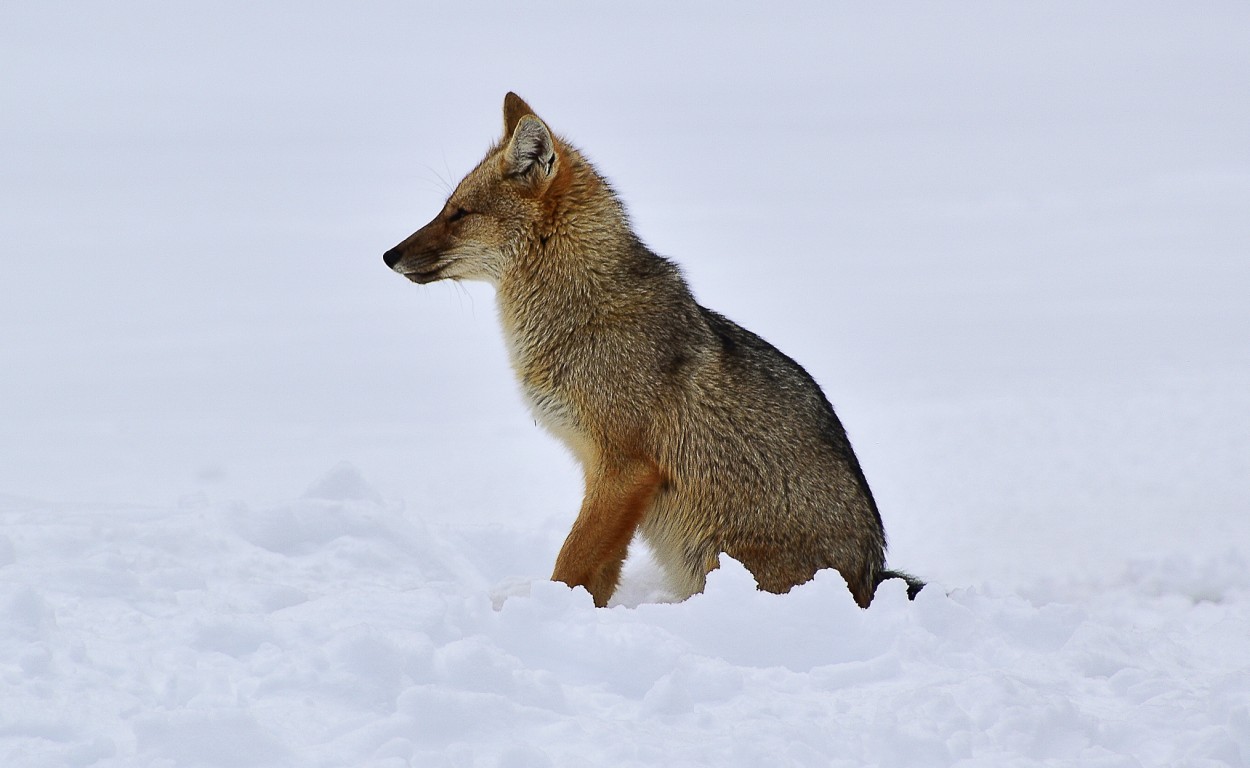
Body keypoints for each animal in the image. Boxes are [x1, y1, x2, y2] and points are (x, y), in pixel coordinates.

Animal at [385, 91, 925, 607]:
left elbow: (571, 563)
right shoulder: (604, 474)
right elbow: (597, 575)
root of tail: (872, 576)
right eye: (446, 207)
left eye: (459, 214)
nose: (388, 255)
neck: (581, 314)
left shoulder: (624, 469)